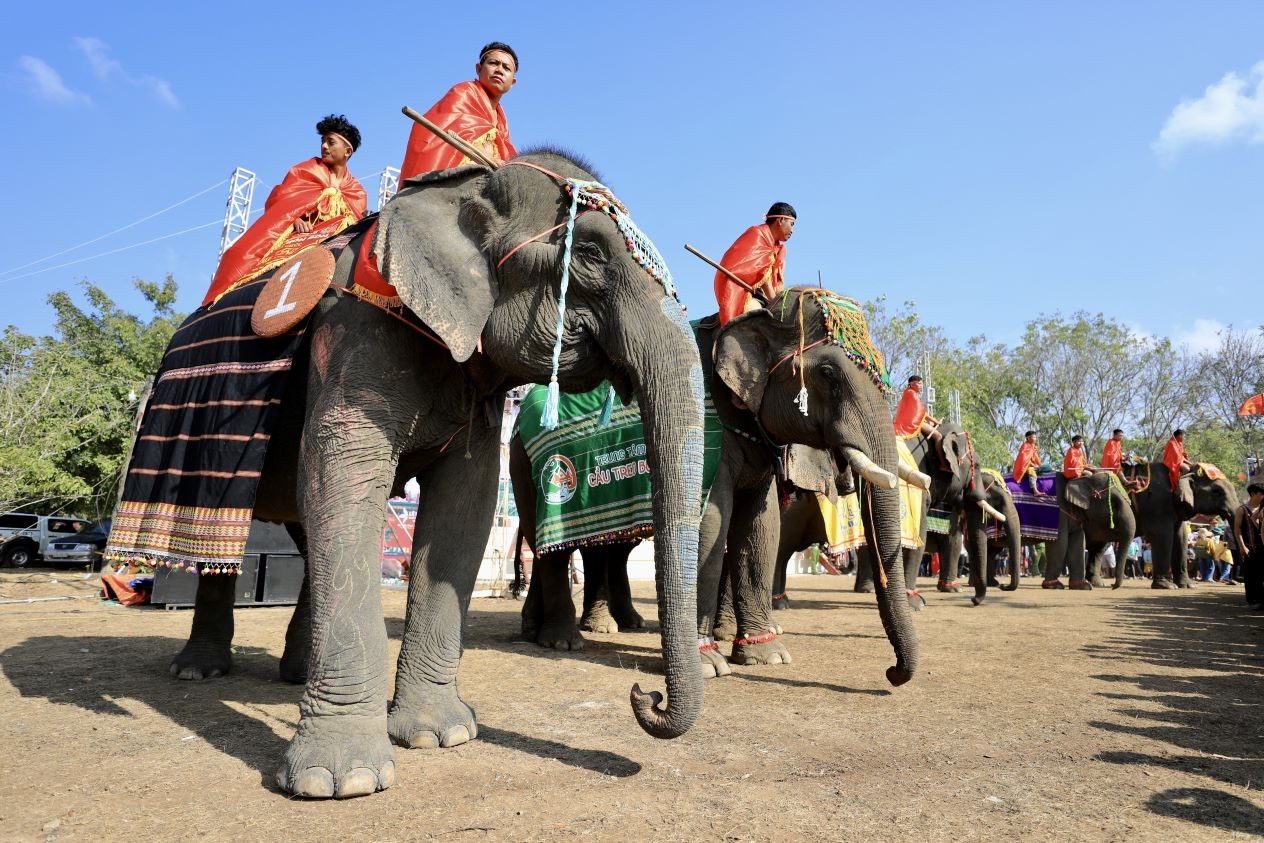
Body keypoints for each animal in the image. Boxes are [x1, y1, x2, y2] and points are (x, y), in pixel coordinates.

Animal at [160, 153, 712, 798]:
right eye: (594, 254)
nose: (642, 694)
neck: (465, 186)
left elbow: (464, 505)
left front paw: (440, 736)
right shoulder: (355, 325)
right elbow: (345, 473)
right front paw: (339, 781)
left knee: (305, 528)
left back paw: (292, 673)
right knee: (219, 527)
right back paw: (197, 672)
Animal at [513, 288, 920, 687]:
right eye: (827, 373)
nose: (892, 673)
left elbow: (760, 529)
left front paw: (766, 656)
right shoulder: (705, 433)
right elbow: (710, 524)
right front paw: (709, 664)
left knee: (601, 548)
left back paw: (586, 627)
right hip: (531, 466)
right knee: (553, 547)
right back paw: (564, 640)